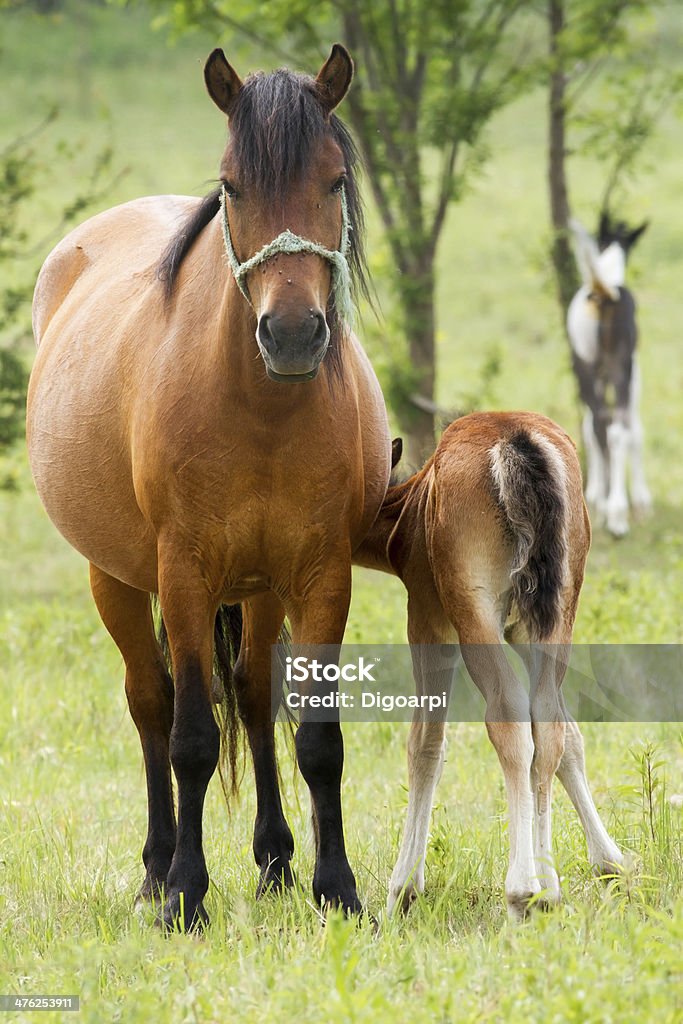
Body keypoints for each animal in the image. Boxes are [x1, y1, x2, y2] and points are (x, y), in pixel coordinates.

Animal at [28, 46, 389, 929]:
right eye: (232, 185)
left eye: (334, 180)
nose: (291, 334)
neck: (260, 409)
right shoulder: (184, 575)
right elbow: (189, 738)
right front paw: (186, 895)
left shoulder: (320, 576)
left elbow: (316, 737)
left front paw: (335, 888)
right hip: (118, 579)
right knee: (151, 705)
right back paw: (156, 869)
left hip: (257, 589)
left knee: (255, 699)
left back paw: (275, 863)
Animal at [356, 411, 622, 917]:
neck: (408, 513)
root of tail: (515, 438)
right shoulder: (522, 633)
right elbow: (570, 738)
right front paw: (609, 863)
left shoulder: (427, 623)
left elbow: (425, 744)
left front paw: (402, 890)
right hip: (557, 614)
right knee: (547, 720)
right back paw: (548, 888)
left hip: (473, 612)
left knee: (507, 715)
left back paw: (521, 890)